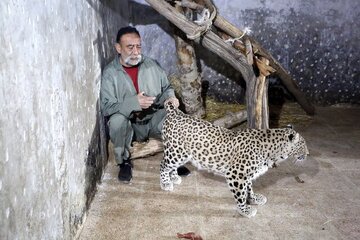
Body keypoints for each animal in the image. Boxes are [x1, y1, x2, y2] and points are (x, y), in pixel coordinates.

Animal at [160, 101, 310, 218]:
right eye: (303, 144)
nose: (308, 154)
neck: (272, 151)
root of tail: (175, 112)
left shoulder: (247, 174)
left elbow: (249, 188)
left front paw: (254, 199)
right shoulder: (236, 174)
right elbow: (240, 194)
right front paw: (245, 210)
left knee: (171, 166)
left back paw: (174, 177)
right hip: (177, 152)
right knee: (163, 164)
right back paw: (166, 183)